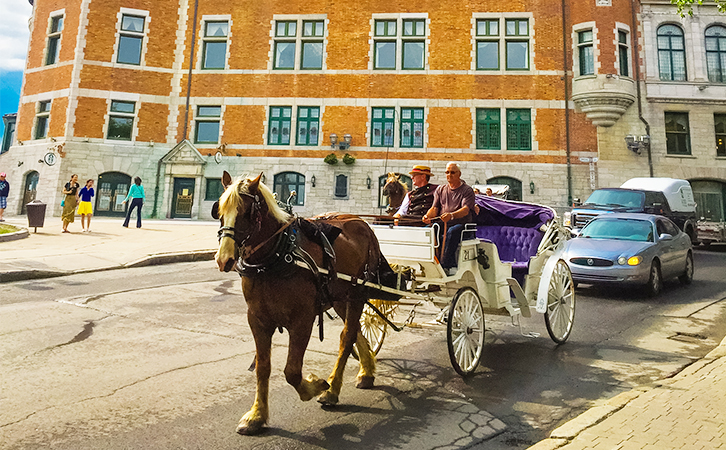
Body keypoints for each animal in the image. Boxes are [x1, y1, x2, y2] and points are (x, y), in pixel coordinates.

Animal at [215, 171, 386, 434]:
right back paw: (366, 371)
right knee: (355, 330)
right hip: (340, 298)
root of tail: (361, 221)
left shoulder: (302, 319)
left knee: (346, 338)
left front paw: (315, 386)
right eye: (220, 210)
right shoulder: (257, 319)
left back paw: (333, 390)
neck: (276, 257)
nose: (224, 259)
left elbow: (292, 372)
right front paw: (256, 415)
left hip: (358, 292)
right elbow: (263, 368)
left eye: (247, 213)